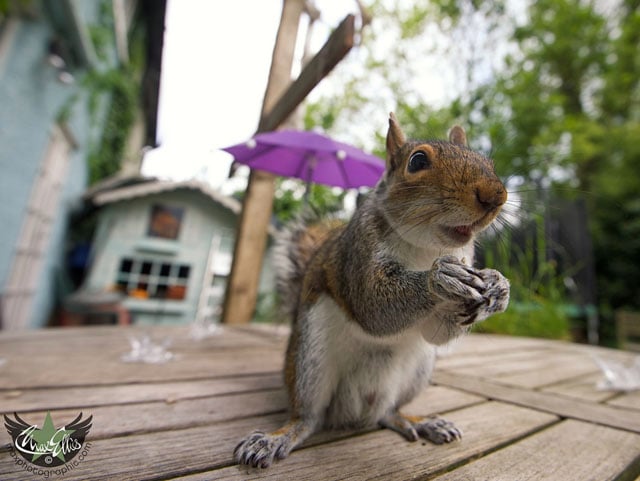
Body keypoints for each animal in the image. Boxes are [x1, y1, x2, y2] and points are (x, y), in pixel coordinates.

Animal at [232, 111, 508, 464]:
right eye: (417, 161)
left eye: (486, 160)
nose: (495, 196)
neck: (425, 248)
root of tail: (356, 411)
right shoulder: (358, 252)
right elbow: (373, 307)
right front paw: (441, 278)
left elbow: (437, 331)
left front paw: (498, 286)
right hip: (310, 362)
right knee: (308, 417)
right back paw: (276, 438)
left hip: (416, 372)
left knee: (388, 412)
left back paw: (420, 421)